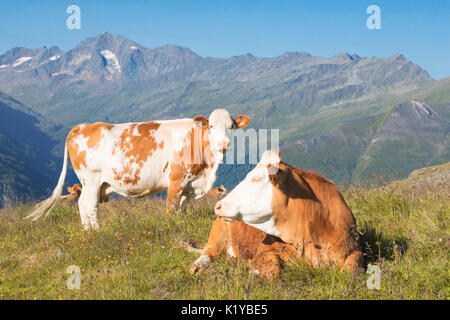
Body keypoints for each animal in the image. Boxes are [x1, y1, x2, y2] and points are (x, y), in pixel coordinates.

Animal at [25, 109, 250, 229]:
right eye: (211, 126)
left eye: (231, 127)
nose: (223, 145)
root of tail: (83, 126)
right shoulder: (176, 180)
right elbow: (171, 208)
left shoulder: (189, 184)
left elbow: (181, 208)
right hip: (91, 180)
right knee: (88, 204)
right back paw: (95, 230)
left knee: (83, 205)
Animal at [189, 149, 362, 278]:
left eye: (257, 178)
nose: (218, 206)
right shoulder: (265, 250)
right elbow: (273, 271)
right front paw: (251, 269)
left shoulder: (354, 248)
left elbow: (352, 269)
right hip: (219, 232)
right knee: (208, 253)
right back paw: (198, 266)